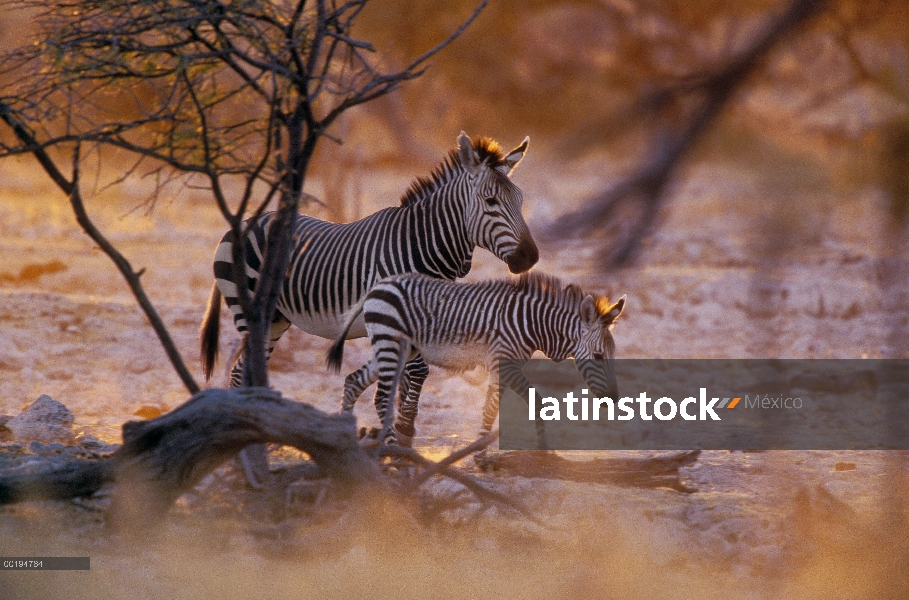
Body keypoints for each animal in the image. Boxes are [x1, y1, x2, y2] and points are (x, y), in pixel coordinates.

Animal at [200, 132, 540, 394]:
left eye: (521, 201)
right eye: (491, 201)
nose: (530, 257)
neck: (420, 243)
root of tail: (243, 222)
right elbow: (411, 377)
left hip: (276, 319)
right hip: (248, 308)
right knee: (239, 370)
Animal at [326, 270, 624, 446]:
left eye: (613, 355)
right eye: (598, 356)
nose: (613, 398)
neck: (530, 323)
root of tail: (378, 285)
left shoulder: (502, 365)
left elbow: (497, 407)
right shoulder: (506, 363)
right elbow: (531, 402)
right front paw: (542, 450)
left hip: (398, 348)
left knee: (354, 381)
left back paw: (346, 439)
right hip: (389, 342)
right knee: (380, 396)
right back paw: (390, 451)